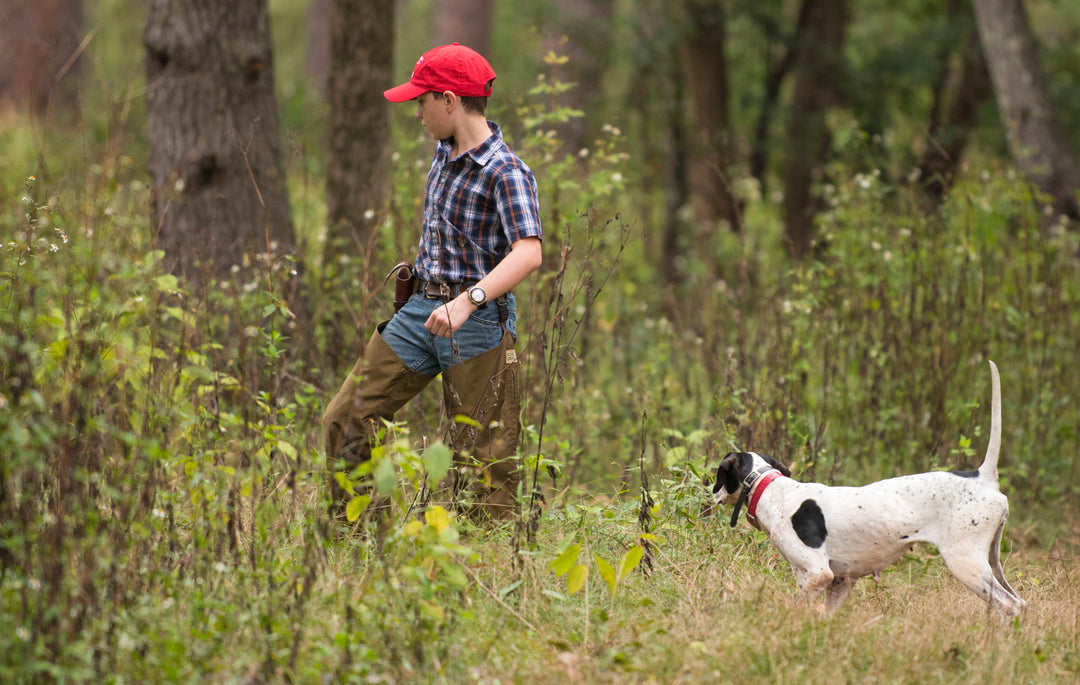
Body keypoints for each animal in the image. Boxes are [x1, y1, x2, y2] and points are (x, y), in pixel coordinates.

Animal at [712, 360, 1023, 618]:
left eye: (718, 475)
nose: (710, 494)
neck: (772, 491)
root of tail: (982, 476)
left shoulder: (817, 573)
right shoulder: (841, 581)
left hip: (966, 564)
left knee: (1010, 606)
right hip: (992, 563)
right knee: (1018, 602)